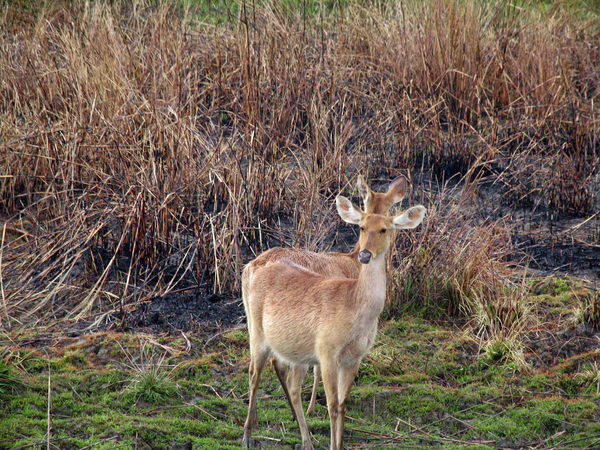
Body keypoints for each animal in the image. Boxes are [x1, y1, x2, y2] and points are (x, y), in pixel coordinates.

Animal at [240, 192, 426, 448]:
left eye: (384, 229)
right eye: (362, 226)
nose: (365, 254)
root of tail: (250, 267)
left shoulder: (355, 357)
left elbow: (343, 404)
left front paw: (339, 443)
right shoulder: (327, 350)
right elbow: (332, 405)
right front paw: (330, 441)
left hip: (295, 348)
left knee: (292, 386)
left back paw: (304, 438)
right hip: (256, 330)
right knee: (253, 373)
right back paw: (248, 435)